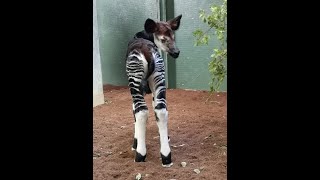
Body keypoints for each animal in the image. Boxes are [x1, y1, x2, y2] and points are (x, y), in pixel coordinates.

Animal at [126, 14, 182, 167]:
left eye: (173, 37)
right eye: (164, 39)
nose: (176, 53)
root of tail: (148, 51)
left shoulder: (137, 89)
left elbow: (135, 112)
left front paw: (135, 143)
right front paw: (166, 137)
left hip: (135, 79)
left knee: (141, 111)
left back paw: (140, 155)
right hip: (158, 77)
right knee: (161, 110)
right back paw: (166, 156)